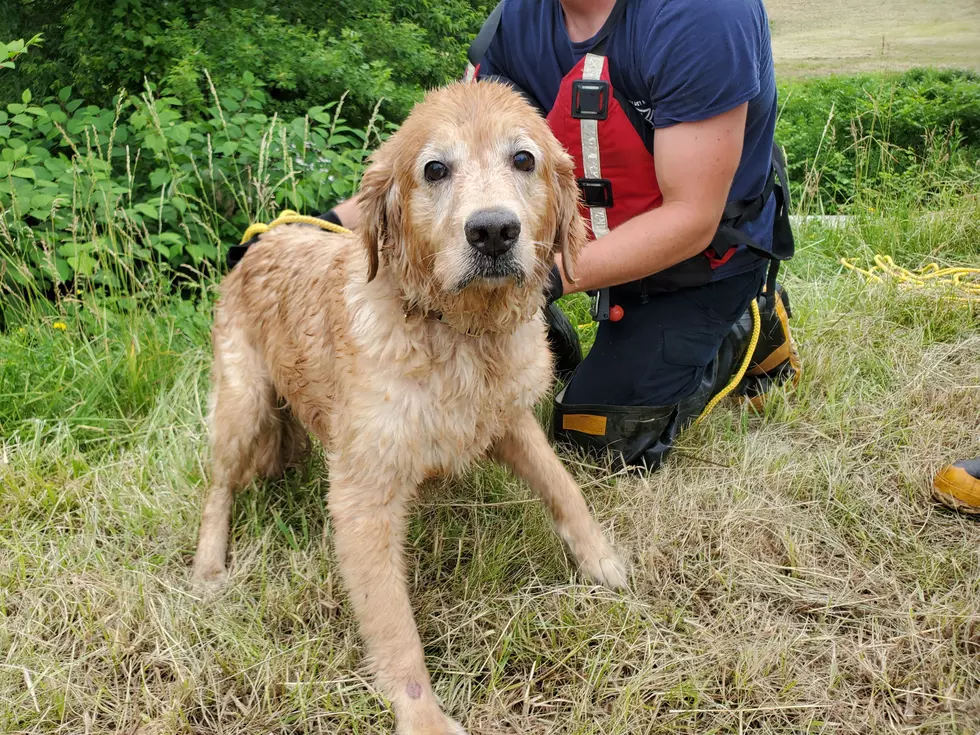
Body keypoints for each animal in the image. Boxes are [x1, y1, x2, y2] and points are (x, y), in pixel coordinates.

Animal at [191, 82, 628, 735]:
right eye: (435, 169)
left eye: (524, 159)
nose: (493, 231)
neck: (458, 335)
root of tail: (260, 243)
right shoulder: (362, 496)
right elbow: (393, 624)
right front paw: (421, 715)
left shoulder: (509, 421)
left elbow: (563, 487)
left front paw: (600, 559)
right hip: (242, 406)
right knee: (218, 488)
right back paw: (209, 567)